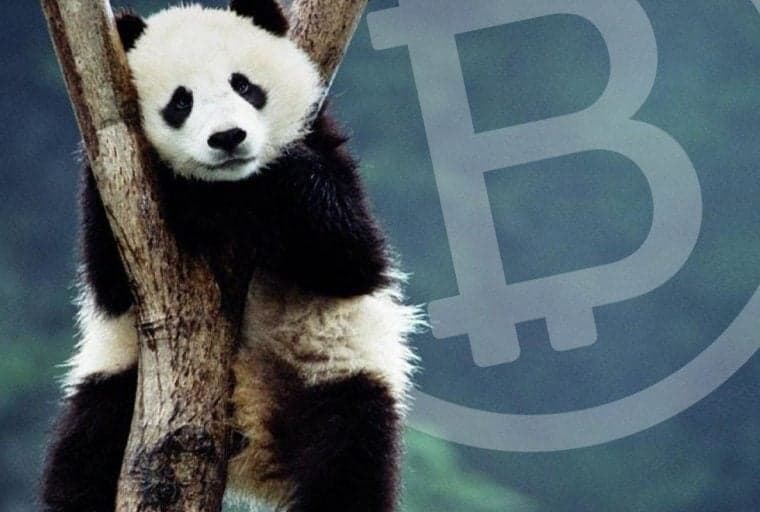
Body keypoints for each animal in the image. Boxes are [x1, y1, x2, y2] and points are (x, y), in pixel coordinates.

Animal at [40, 2, 423, 511]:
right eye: (180, 102)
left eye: (244, 85)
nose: (228, 138)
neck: (231, 187)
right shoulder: (113, 185)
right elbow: (111, 284)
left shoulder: (324, 146)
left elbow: (353, 258)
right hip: (119, 382)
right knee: (85, 453)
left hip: (337, 372)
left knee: (348, 458)